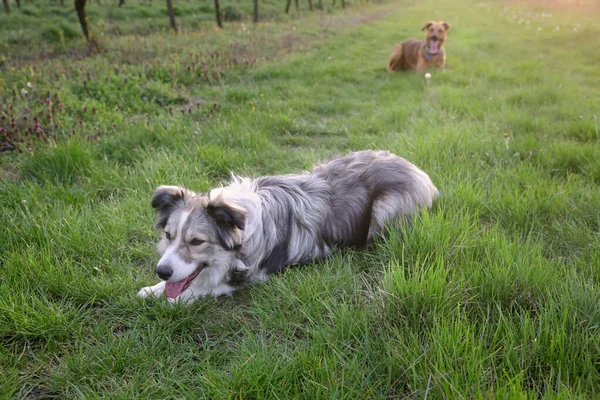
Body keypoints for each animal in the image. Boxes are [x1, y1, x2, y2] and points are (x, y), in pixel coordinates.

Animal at [137, 150, 436, 304]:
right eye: (169, 235)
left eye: (196, 241)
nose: (161, 271)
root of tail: (417, 170)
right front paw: (152, 289)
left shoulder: (254, 275)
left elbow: (206, 287)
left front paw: (173, 299)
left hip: (385, 210)